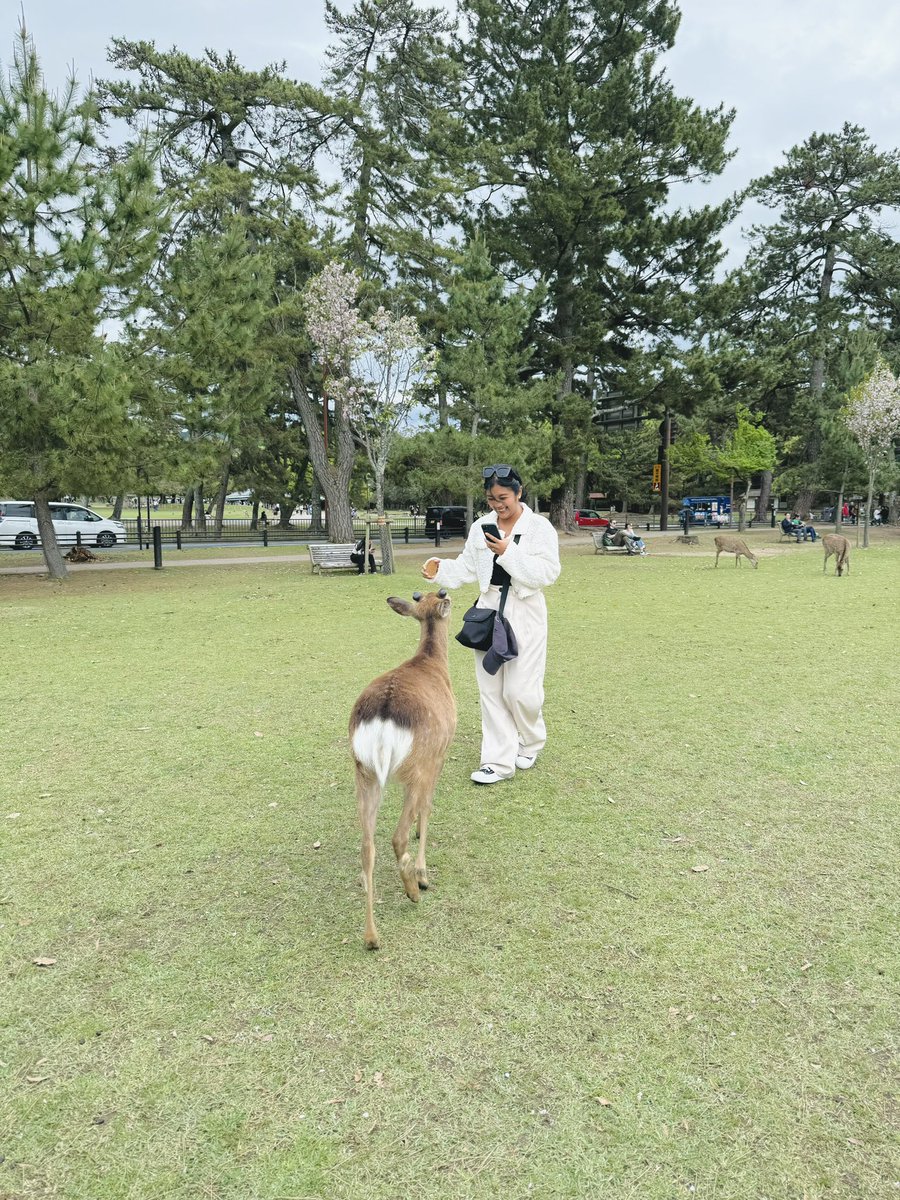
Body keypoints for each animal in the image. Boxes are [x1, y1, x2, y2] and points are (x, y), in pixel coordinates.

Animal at [348, 588, 453, 945]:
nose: (443, 593)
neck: (432, 662)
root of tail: (382, 718)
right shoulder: (438, 755)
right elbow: (429, 806)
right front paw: (422, 870)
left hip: (363, 773)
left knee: (367, 846)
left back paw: (371, 936)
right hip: (415, 767)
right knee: (397, 836)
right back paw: (415, 886)